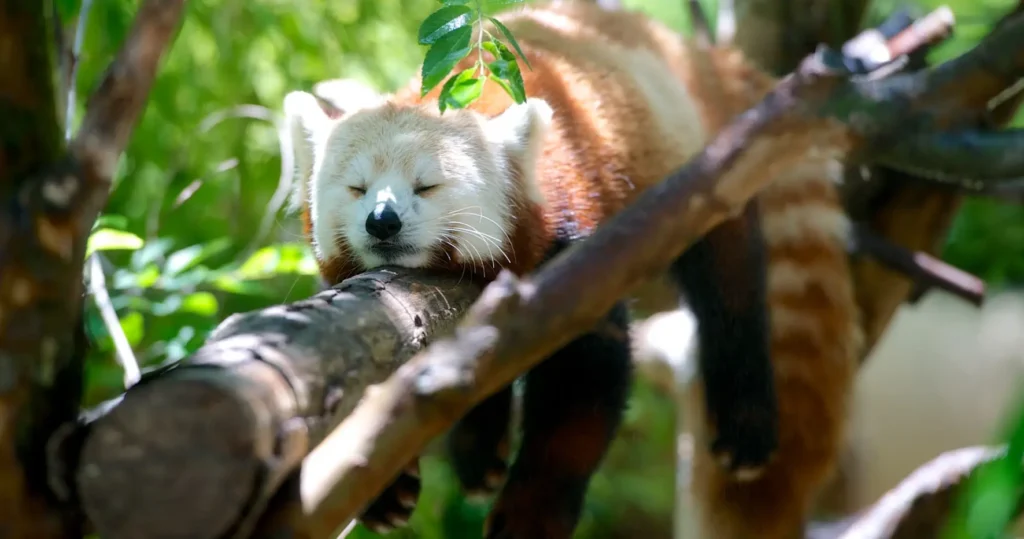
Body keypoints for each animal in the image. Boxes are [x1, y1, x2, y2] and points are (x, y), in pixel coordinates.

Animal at [284, 2, 860, 536]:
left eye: (427, 186)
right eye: (357, 189)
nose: (382, 222)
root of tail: (693, 54)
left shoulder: (573, 251)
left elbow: (583, 382)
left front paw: (530, 516)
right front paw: (384, 490)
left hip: (702, 170)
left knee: (731, 285)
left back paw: (746, 417)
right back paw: (479, 450)